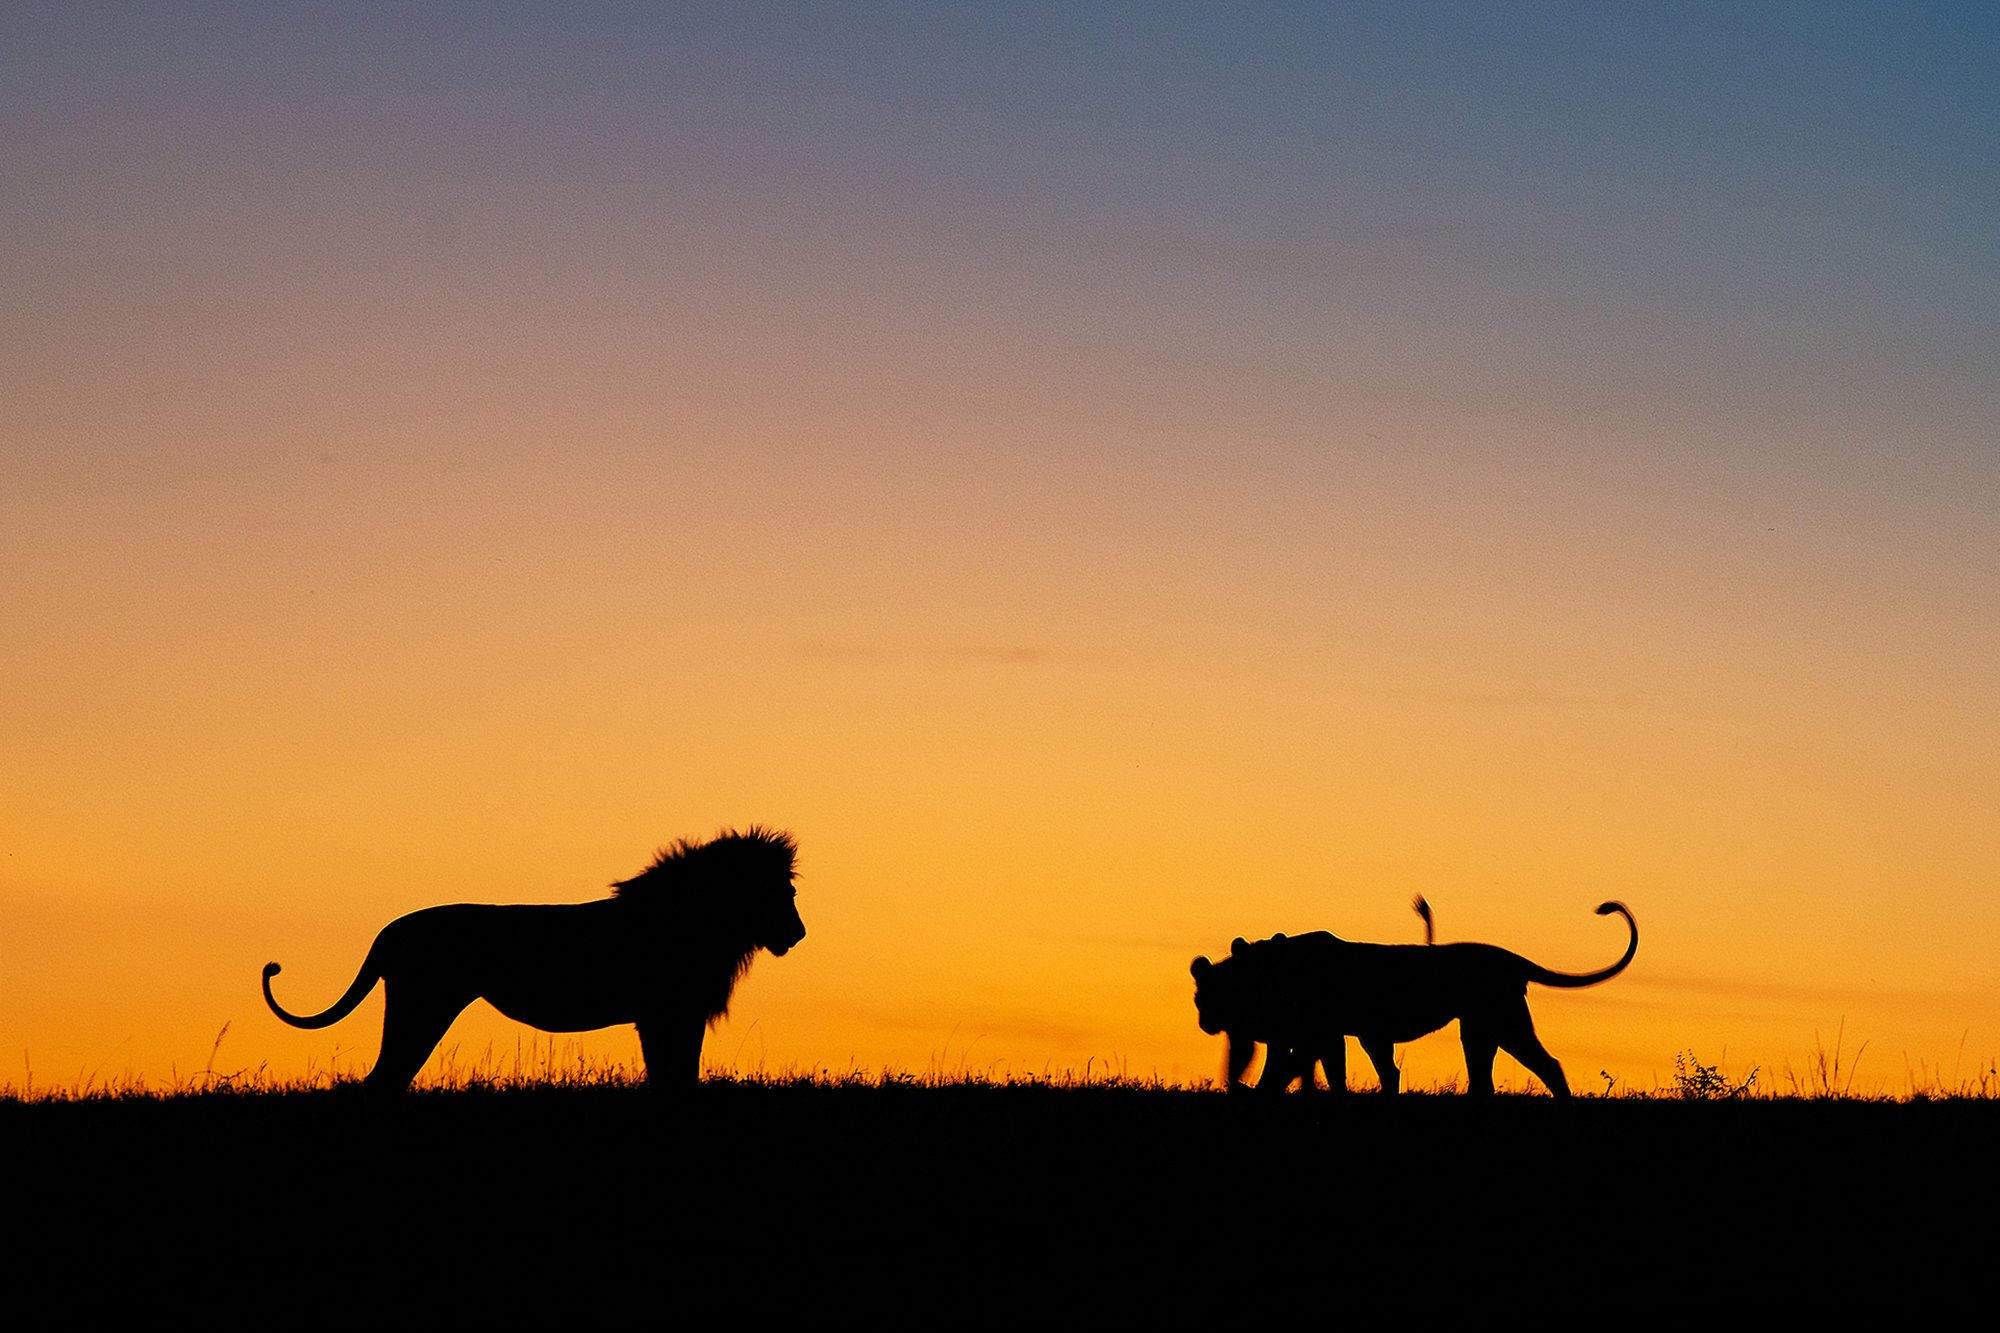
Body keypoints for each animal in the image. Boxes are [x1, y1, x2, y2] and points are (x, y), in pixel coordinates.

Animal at [261, 827, 806, 1092]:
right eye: (778, 892)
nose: (798, 934)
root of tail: (391, 930)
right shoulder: (666, 1015)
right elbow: (674, 1078)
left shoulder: (672, 1017)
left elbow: (676, 1077)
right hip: (423, 1006)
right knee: (383, 1079)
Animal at [1191, 900, 1636, 1098]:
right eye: (1199, 999)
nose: (1204, 1023)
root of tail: (1511, 958)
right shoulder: (1306, 1035)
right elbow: (1307, 1070)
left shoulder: (1316, 1033)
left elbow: (1291, 1070)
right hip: (1477, 1030)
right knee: (1481, 1079)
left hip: (1504, 1023)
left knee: (1548, 1064)